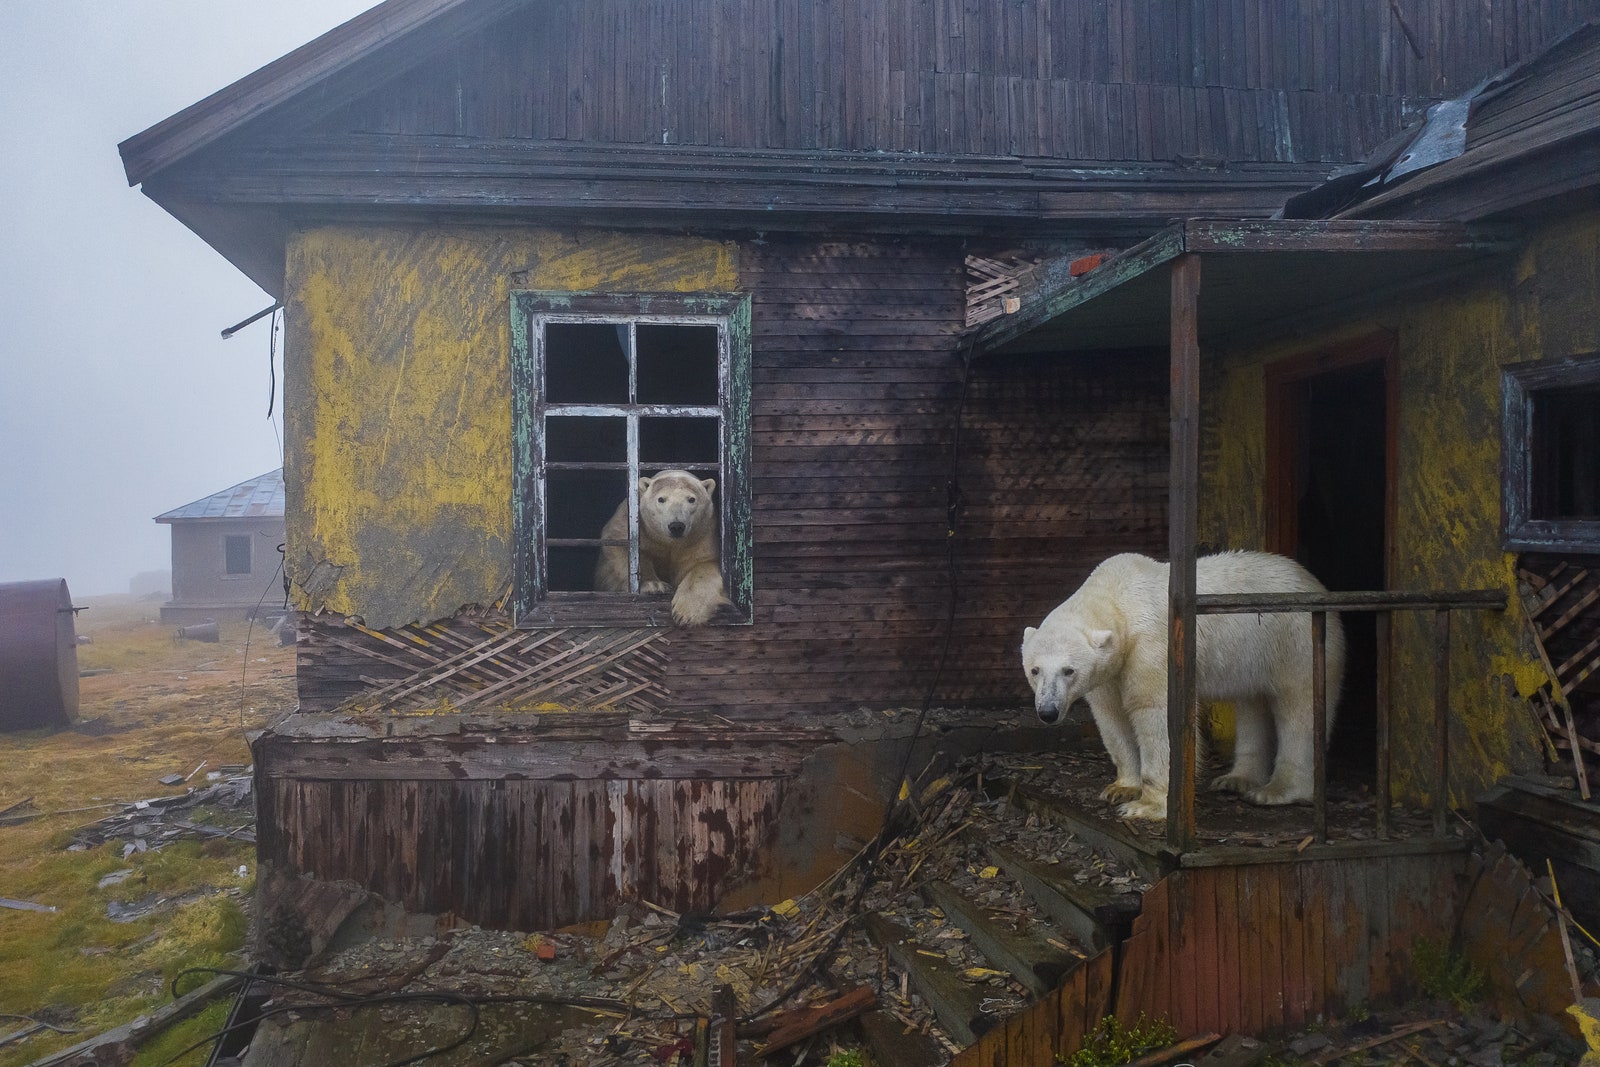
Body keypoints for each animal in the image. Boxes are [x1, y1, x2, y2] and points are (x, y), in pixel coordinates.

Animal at [595, 467, 732, 627]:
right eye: (661, 499)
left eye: (691, 499)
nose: (676, 526)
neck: (670, 542)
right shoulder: (632, 523)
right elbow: (621, 545)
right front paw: (654, 586)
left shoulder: (703, 534)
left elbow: (704, 564)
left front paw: (685, 613)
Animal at [1017, 556, 1344, 825]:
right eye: (1035, 670)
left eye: (1068, 670)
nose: (1048, 712)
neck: (1118, 598)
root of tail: (1314, 582)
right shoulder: (1111, 670)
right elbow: (1112, 717)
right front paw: (1120, 788)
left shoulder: (1152, 647)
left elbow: (1157, 715)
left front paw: (1146, 806)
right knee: (1252, 703)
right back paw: (1237, 779)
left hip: (1294, 639)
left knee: (1299, 707)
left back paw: (1277, 790)